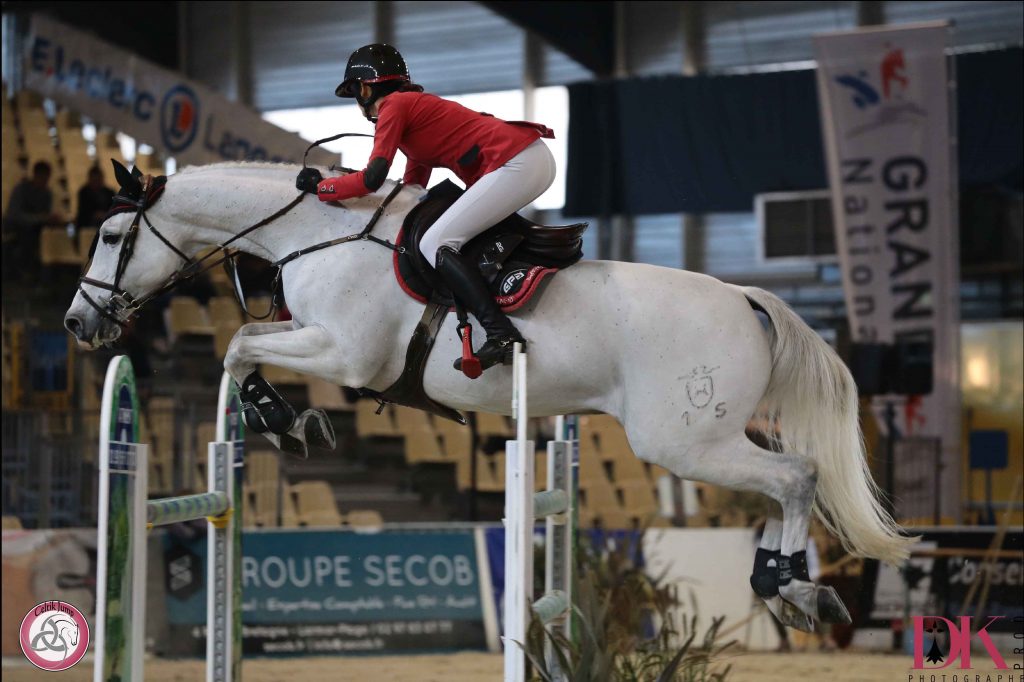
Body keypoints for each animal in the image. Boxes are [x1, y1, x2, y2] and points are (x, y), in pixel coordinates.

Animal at [64, 161, 913, 630]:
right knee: (784, 486)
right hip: (704, 441)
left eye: (107, 238)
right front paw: (286, 418)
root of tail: (744, 297)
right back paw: (787, 586)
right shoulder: (318, 338)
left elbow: (239, 343)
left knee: (796, 478)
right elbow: (246, 341)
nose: (77, 322)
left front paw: (282, 419)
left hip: (683, 441)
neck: (316, 234)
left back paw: (791, 586)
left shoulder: (345, 352)